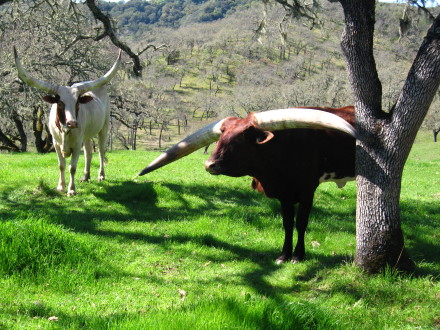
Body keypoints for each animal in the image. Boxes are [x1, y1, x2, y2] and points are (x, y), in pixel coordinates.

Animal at [138, 107, 358, 264]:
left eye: (241, 139)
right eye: (221, 136)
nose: (209, 165)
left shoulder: (307, 191)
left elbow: (301, 223)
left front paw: (298, 256)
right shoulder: (284, 195)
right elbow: (287, 223)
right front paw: (283, 255)